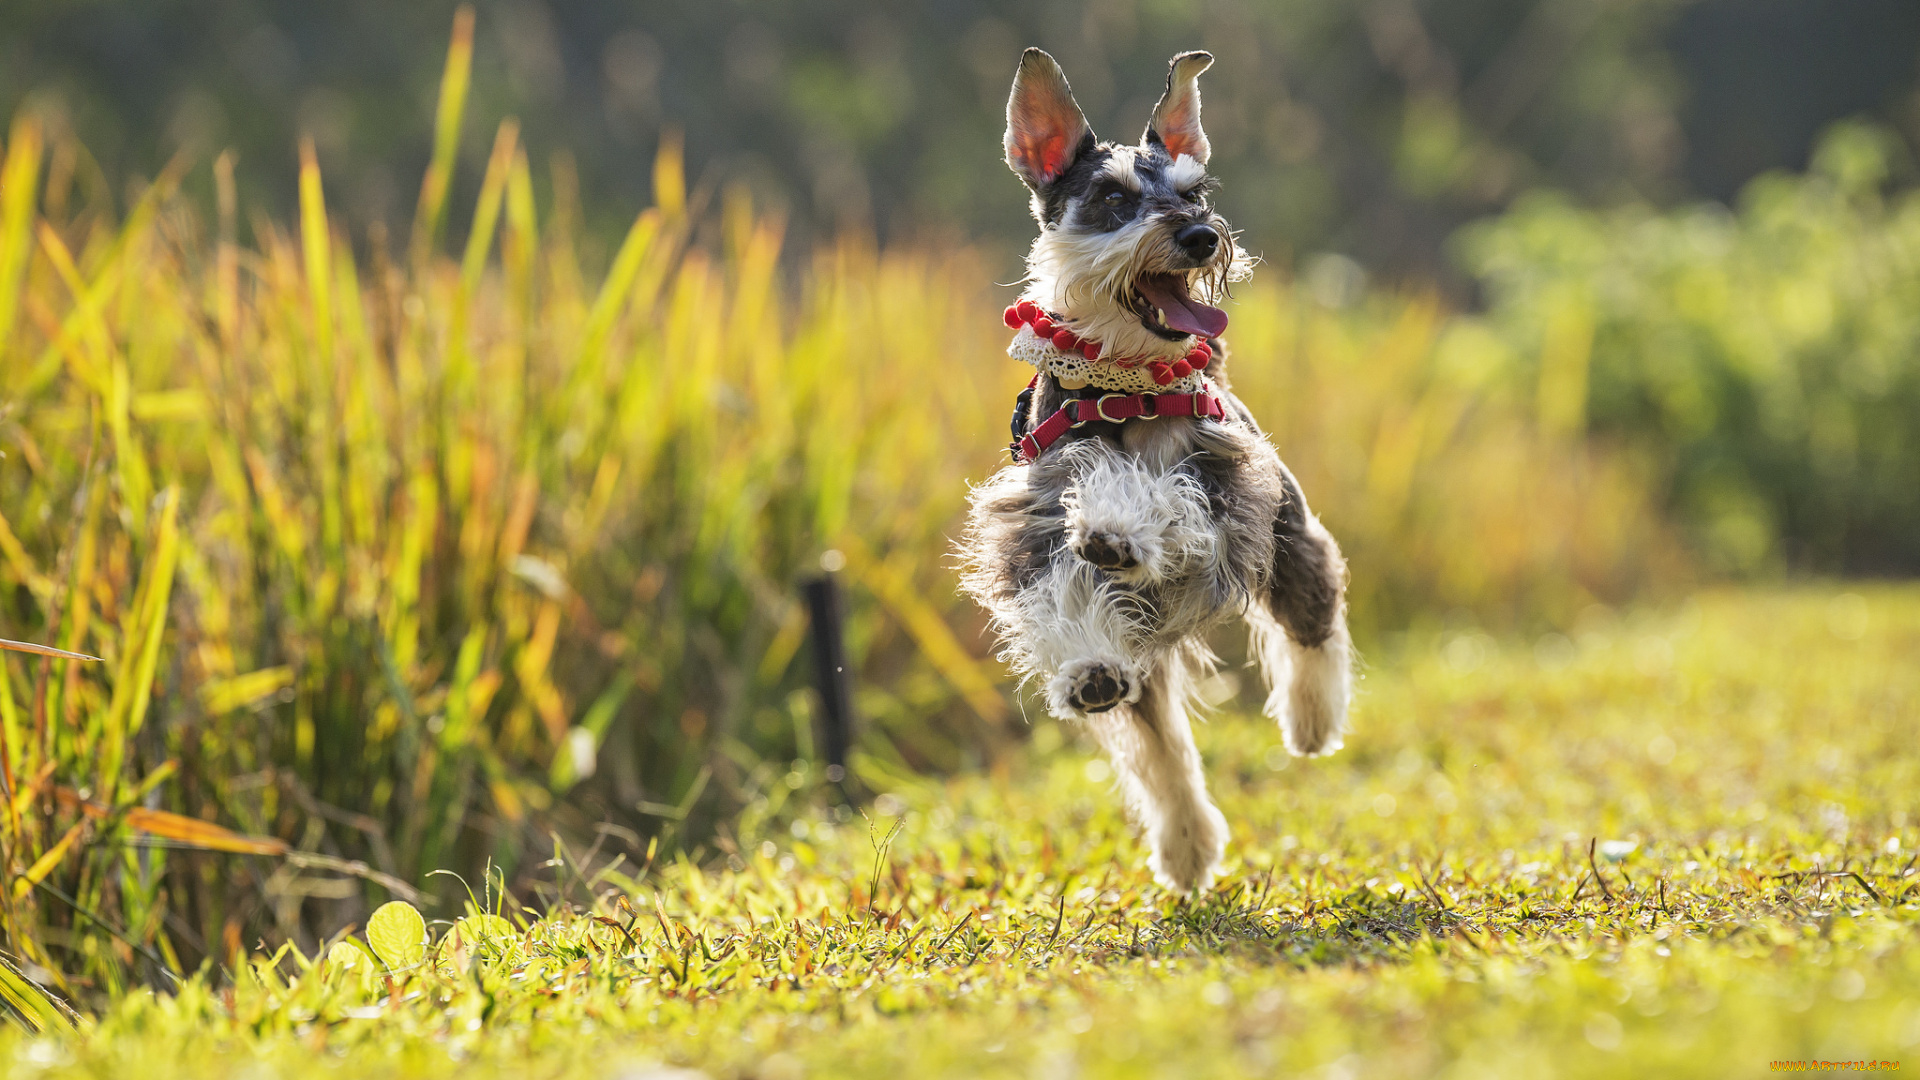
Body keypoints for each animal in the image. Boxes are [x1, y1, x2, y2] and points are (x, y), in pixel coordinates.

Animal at [956, 48, 1351, 891]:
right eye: (1111, 198)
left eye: (1195, 190)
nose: (1201, 236)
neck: (1125, 386)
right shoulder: (1031, 524)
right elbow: (1065, 592)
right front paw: (1086, 662)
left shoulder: (1226, 494)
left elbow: (1167, 503)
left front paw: (1119, 526)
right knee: (1161, 750)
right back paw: (1186, 843)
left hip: (1290, 534)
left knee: (1314, 613)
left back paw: (1311, 718)